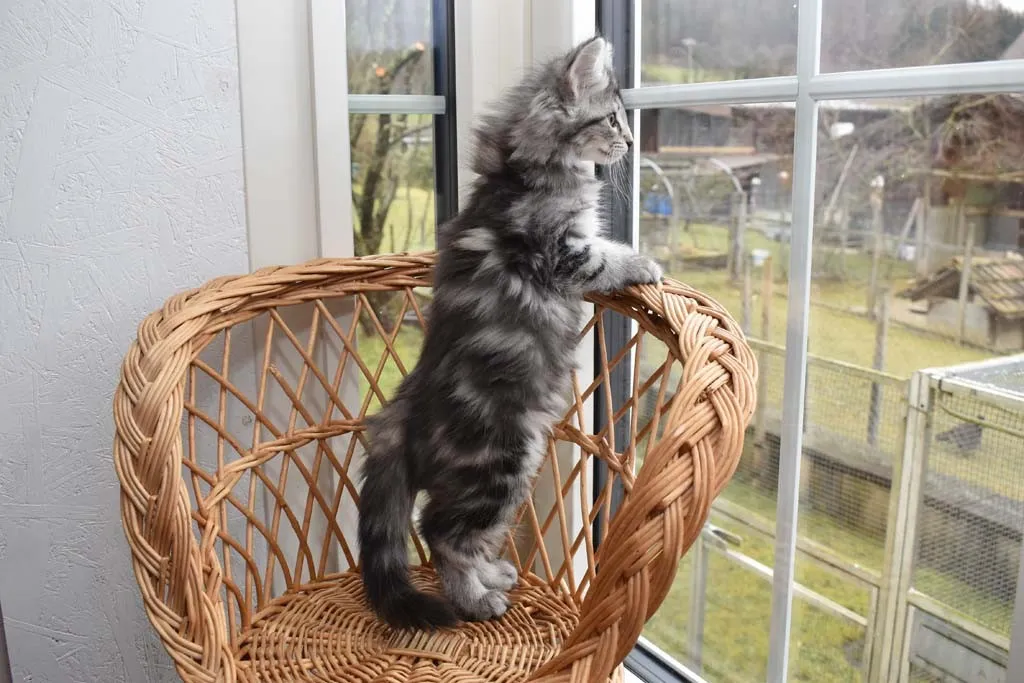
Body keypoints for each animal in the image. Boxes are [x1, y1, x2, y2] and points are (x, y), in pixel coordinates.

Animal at [356, 35, 663, 631]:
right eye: (613, 119)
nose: (632, 141)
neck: (517, 173)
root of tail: (405, 409)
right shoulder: (560, 252)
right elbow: (605, 258)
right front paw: (643, 263)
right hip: (500, 462)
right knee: (440, 531)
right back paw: (474, 600)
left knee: (460, 534)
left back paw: (491, 576)